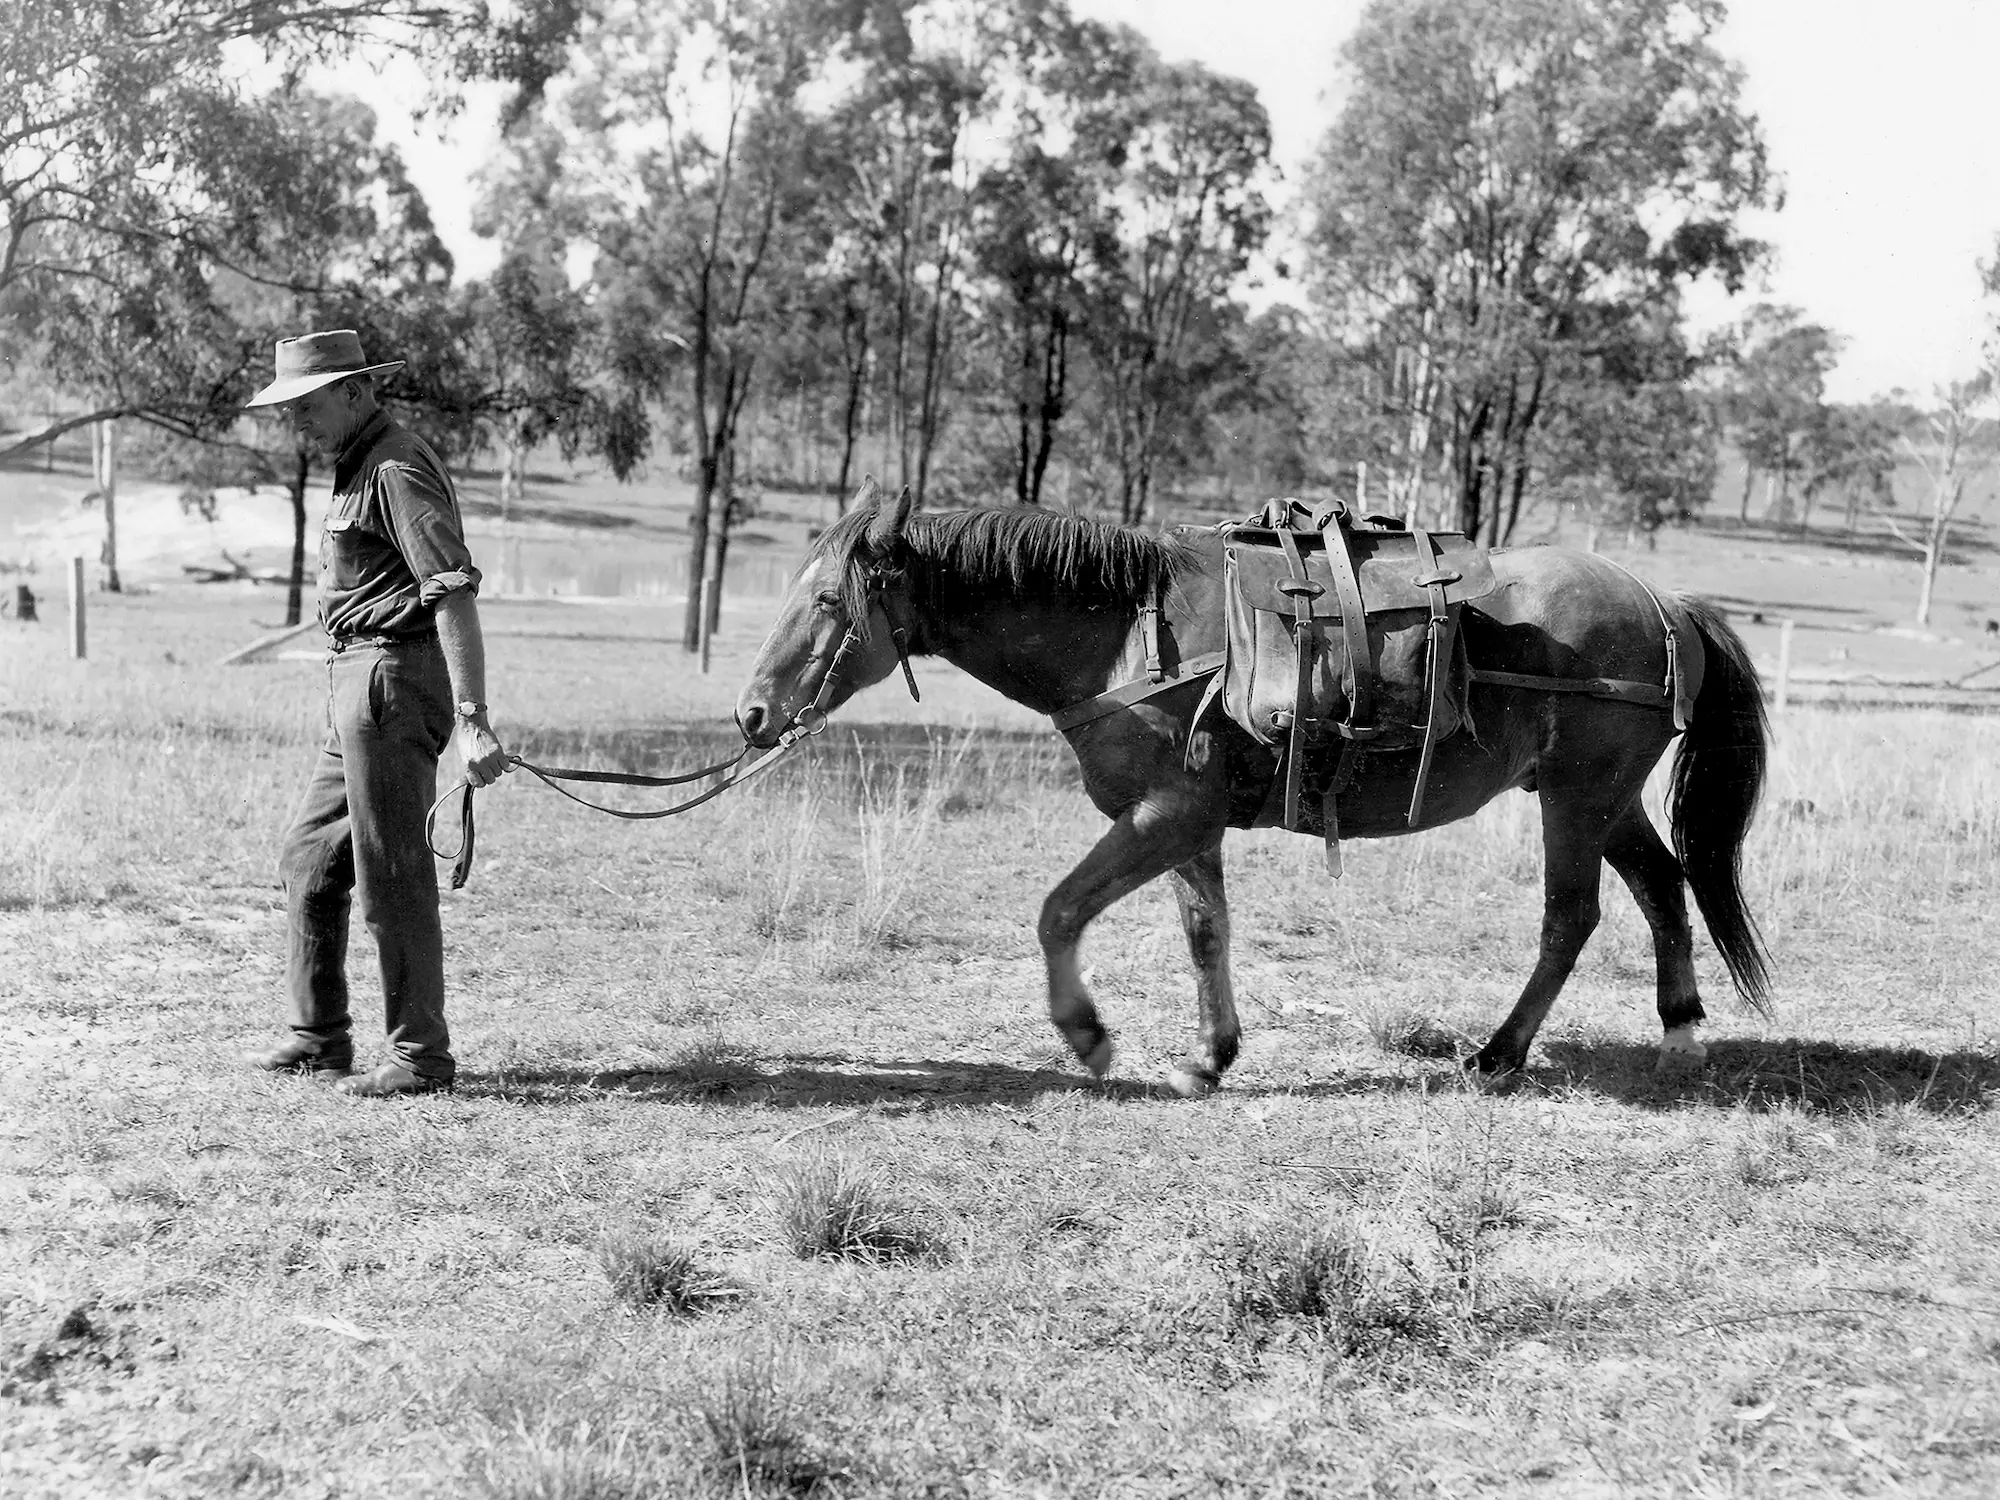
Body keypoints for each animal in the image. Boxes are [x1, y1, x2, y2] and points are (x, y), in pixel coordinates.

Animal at [744, 488, 1776, 1096]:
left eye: (829, 603)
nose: (754, 714)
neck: (1133, 632)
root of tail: (1663, 603)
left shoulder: (1164, 817)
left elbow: (1059, 911)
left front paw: (1090, 1039)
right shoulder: (1186, 825)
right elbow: (1207, 933)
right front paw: (1210, 1057)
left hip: (1576, 799)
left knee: (1573, 917)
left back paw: (1499, 1054)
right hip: (1605, 799)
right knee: (1663, 886)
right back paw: (1680, 1032)